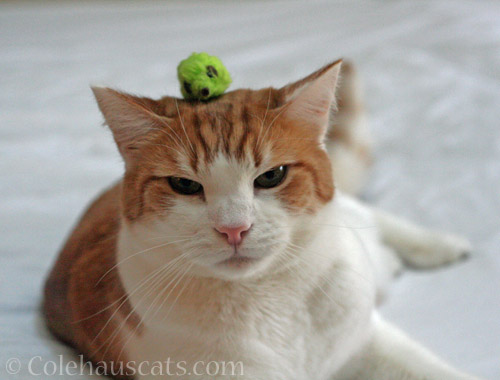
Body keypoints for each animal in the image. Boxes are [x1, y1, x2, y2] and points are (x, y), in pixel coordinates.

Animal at [41, 59, 478, 380]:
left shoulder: (368, 342)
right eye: (184, 184)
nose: (233, 228)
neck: (272, 299)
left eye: (271, 176)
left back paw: (438, 245)